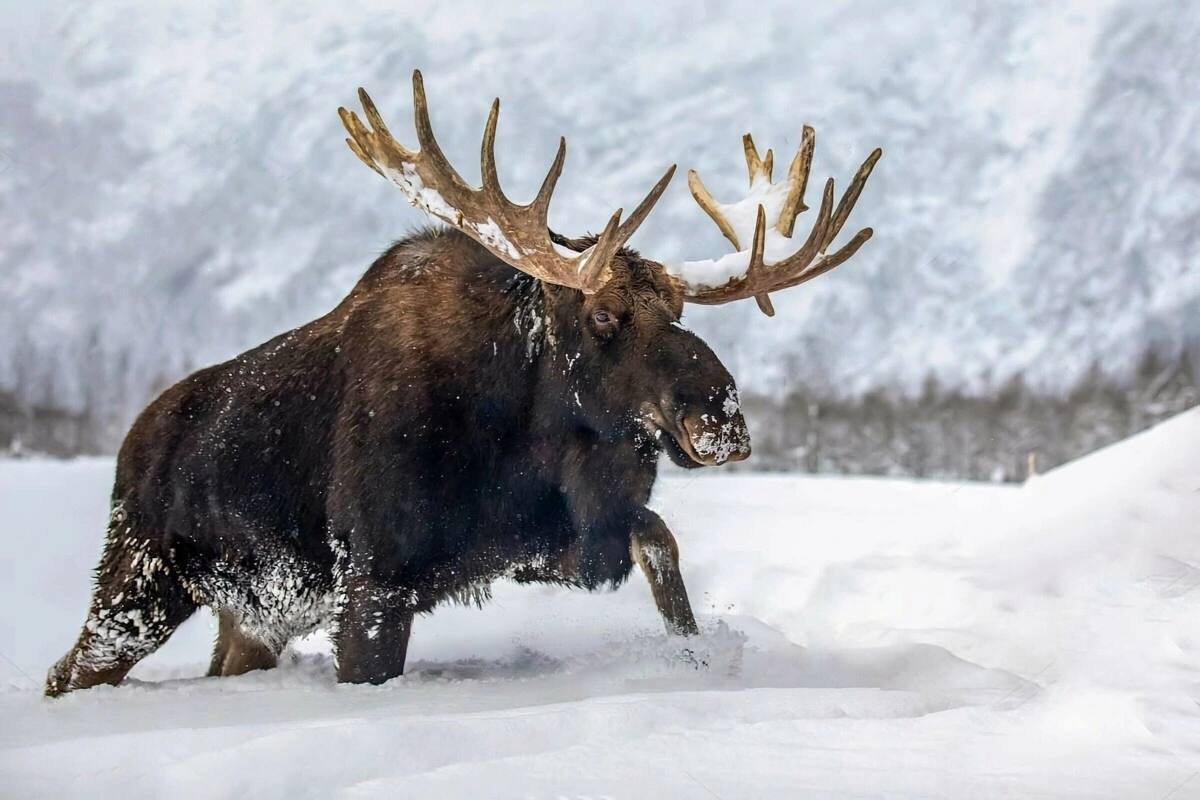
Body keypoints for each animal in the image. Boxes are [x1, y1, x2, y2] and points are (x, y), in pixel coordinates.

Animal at [44, 70, 883, 695]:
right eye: (603, 314)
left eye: (677, 309)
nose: (723, 416)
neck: (522, 435)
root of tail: (131, 442)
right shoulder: (373, 577)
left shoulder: (540, 543)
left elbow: (653, 540)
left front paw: (695, 652)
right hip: (139, 582)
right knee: (69, 669)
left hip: (250, 617)